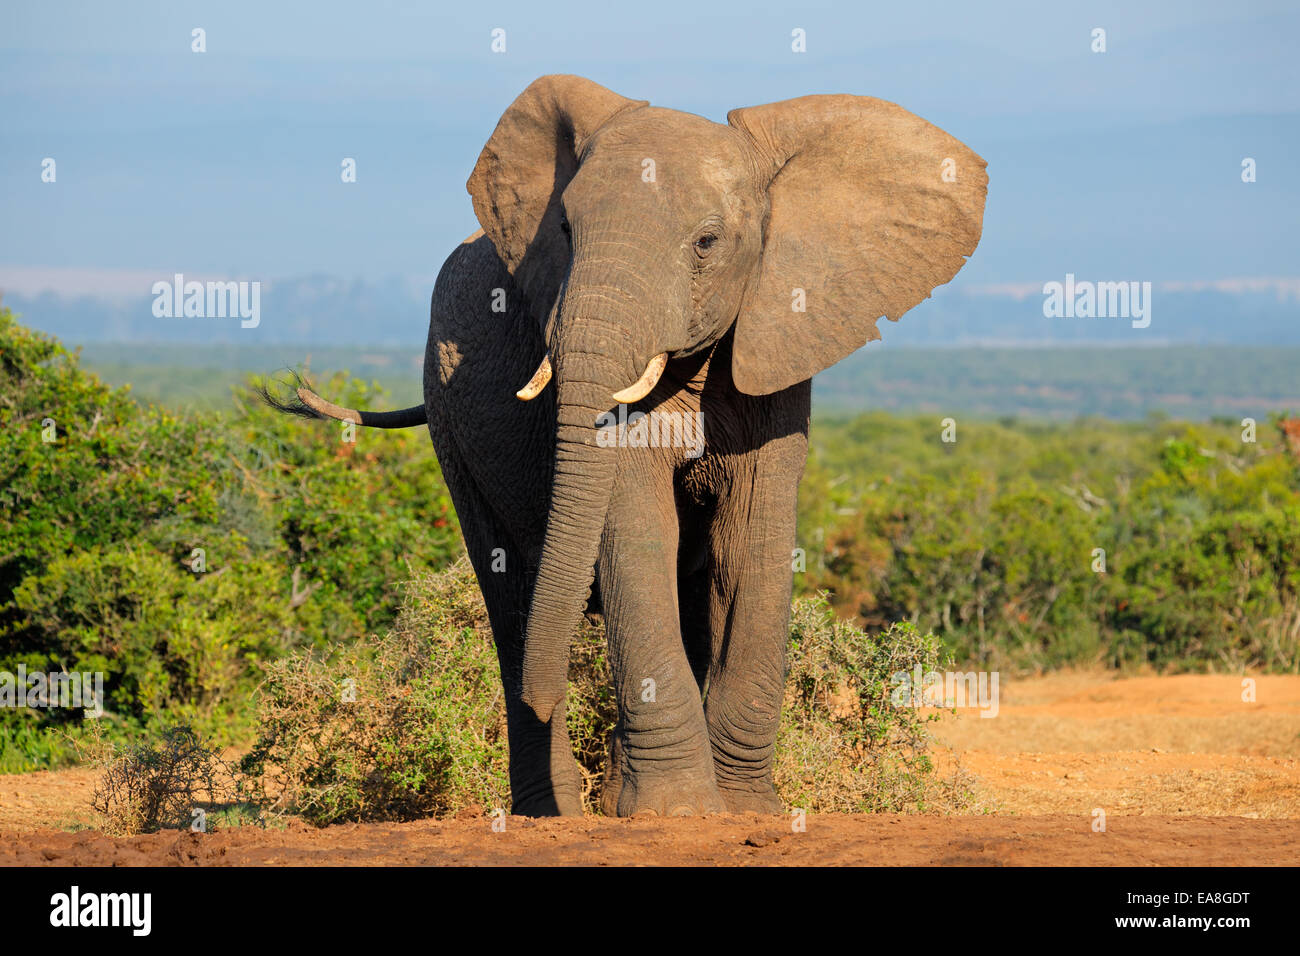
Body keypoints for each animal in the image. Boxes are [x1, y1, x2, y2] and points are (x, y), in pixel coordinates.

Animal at [271, 74, 982, 816]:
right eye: (563, 229)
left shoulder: (778, 341)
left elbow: (750, 543)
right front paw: (678, 812)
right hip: (447, 414)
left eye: (707, 242)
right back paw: (552, 809)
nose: (550, 689)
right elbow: (636, 528)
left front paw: (745, 811)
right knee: (510, 594)